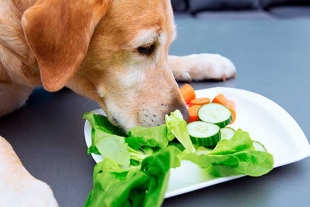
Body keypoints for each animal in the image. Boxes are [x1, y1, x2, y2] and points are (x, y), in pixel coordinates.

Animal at [0, 0, 236, 205]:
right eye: (146, 47)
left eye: (167, 44)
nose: (184, 118)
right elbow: (5, 145)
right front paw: (27, 194)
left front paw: (202, 62)